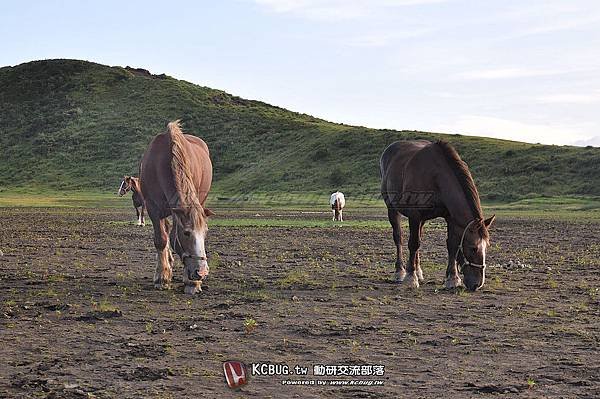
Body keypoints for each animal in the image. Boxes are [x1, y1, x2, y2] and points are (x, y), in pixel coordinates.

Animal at [139, 120, 214, 296]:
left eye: (206, 232)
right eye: (186, 233)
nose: (201, 272)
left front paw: (192, 282)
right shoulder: (153, 208)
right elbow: (161, 240)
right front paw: (162, 277)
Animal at [382, 142, 494, 292]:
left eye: (486, 247)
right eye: (473, 248)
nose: (477, 284)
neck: (435, 177)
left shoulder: (450, 218)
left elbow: (452, 245)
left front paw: (452, 278)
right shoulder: (414, 215)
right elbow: (413, 244)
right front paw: (411, 277)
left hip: (422, 220)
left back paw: (418, 271)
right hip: (393, 209)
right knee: (398, 238)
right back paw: (400, 271)